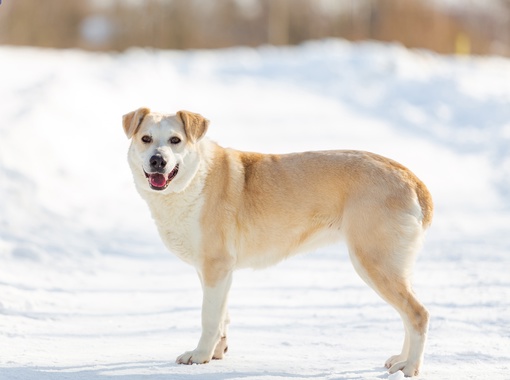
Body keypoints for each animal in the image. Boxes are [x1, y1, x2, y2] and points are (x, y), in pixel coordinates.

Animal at [123, 107, 434, 378]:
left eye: (175, 140)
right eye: (146, 139)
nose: (158, 161)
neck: (194, 179)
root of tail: (410, 177)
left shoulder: (215, 268)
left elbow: (209, 318)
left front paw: (199, 356)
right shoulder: (213, 272)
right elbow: (222, 316)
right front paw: (217, 353)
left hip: (373, 262)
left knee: (418, 314)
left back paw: (410, 368)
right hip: (393, 266)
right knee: (408, 315)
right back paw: (401, 360)